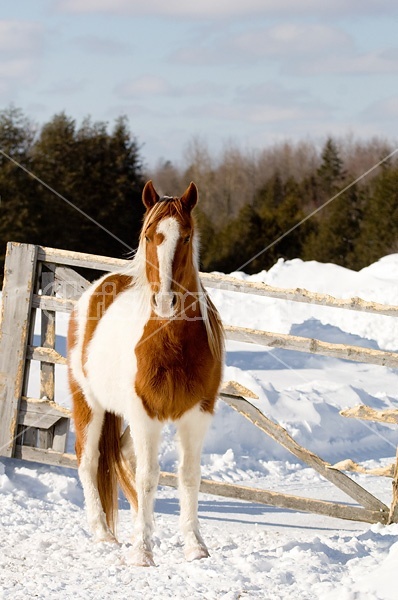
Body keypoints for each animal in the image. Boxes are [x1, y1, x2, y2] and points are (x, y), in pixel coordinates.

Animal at [67, 180, 225, 564]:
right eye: (151, 235)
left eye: (186, 236)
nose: (166, 302)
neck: (170, 342)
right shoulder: (144, 414)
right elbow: (147, 477)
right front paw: (142, 552)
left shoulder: (197, 415)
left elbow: (188, 476)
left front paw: (195, 546)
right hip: (88, 404)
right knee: (89, 461)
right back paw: (103, 535)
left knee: (124, 457)